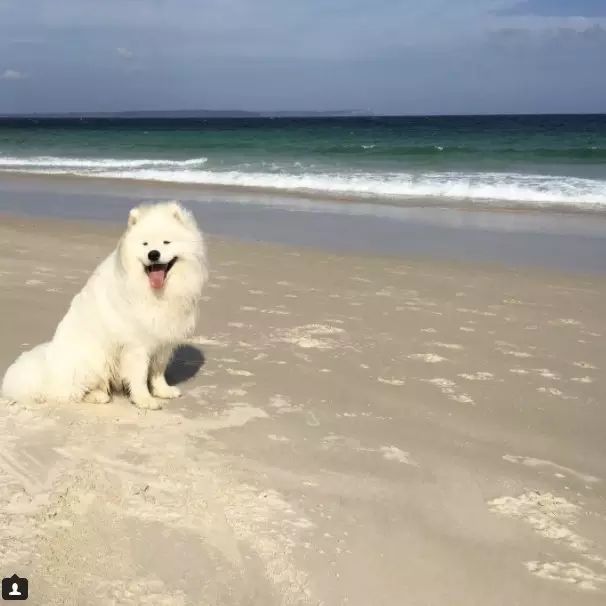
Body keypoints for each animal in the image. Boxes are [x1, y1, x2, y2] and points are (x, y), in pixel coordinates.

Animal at [1, 202, 208, 410]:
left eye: (166, 242)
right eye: (145, 244)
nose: (153, 254)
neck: (156, 291)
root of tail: (49, 371)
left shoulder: (163, 339)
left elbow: (158, 370)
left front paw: (162, 391)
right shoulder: (136, 343)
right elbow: (140, 375)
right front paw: (144, 400)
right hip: (95, 357)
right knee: (76, 391)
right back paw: (98, 396)